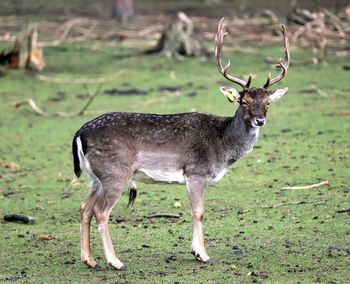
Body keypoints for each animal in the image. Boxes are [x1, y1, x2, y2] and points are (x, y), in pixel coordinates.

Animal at [71, 18, 290, 270]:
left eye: (267, 103)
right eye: (243, 102)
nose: (259, 120)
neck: (222, 146)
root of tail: (80, 132)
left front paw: (196, 251)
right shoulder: (196, 172)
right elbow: (199, 211)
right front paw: (202, 254)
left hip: (95, 176)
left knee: (84, 207)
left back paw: (89, 259)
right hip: (116, 172)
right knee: (101, 211)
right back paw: (115, 261)